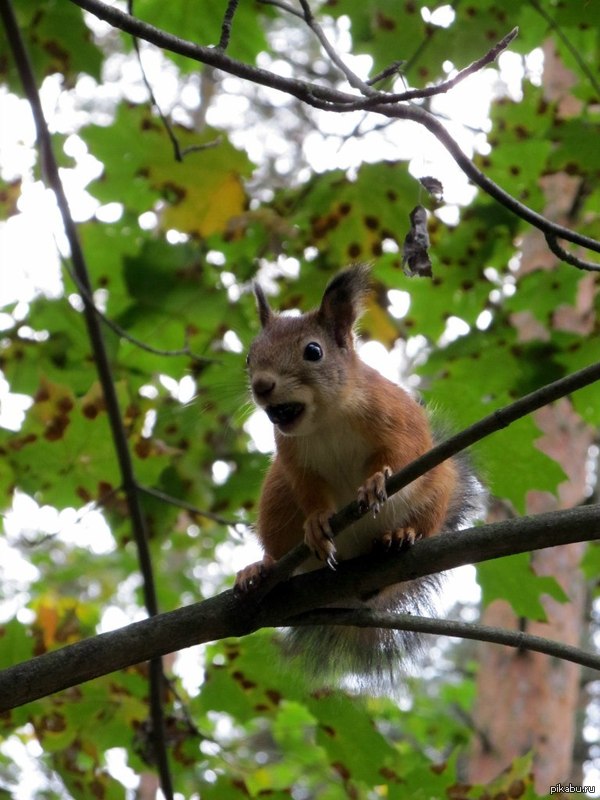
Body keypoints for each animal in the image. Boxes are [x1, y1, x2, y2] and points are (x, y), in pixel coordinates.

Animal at [234, 268, 482, 680]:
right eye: (250, 357)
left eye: (313, 351)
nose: (261, 386)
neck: (327, 417)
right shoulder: (294, 460)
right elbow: (309, 489)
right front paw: (317, 522)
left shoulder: (398, 418)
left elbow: (401, 454)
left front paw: (376, 482)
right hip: (276, 501)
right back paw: (261, 568)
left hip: (436, 490)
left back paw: (401, 535)